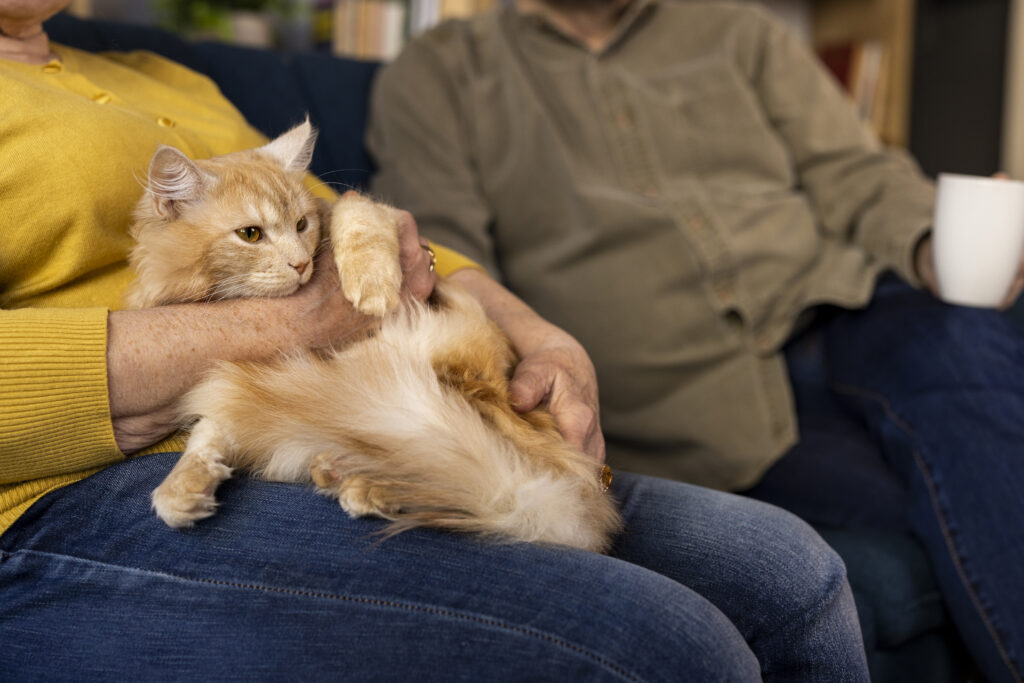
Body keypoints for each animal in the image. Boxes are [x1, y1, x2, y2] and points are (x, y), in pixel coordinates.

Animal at [128, 120, 622, 552]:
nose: (301, 264)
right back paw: (343, 473)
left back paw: (366, 487)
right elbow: (206, 437)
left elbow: (358, 220)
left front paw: (372, 286)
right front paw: (182, 489)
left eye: (302, 225)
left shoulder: (365, 211)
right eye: (251, 234)